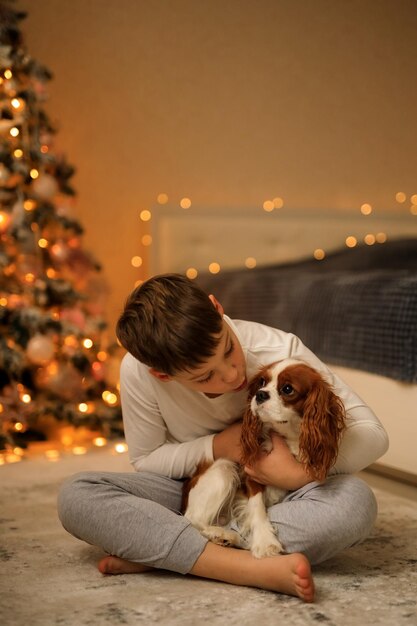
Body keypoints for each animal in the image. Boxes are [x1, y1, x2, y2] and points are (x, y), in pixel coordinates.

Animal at [182, 358, 344, 560]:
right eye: (262, 382)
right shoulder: (252, 473)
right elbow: (257, 505)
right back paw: (220, 534)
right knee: (191, 518)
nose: (260, 394)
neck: (287, 436)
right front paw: (265, 542)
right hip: (223, 469)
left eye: (287, 389)